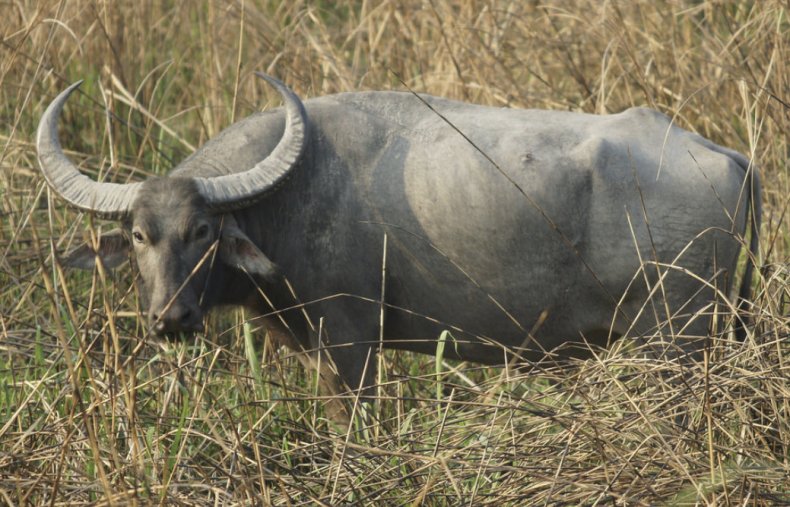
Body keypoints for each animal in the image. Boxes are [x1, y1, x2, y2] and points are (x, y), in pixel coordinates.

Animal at [38, 75, 760, 400]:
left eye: (204, 230)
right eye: (138, 234)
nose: (170, 318)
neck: (296, 189)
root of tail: (723, 155)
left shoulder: (350, 342)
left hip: (675, 344)